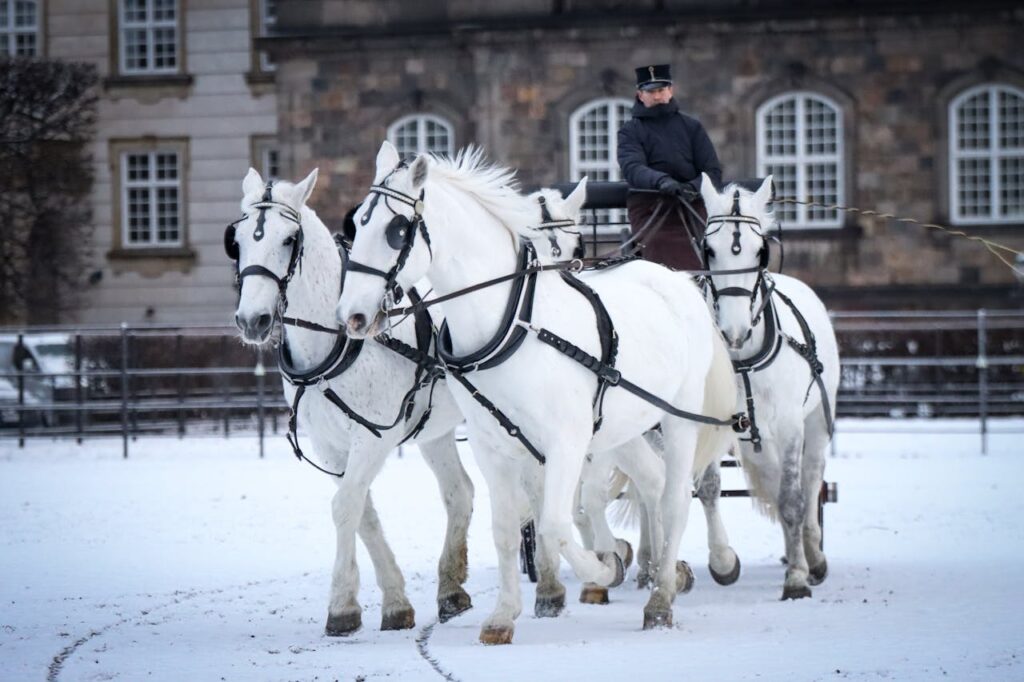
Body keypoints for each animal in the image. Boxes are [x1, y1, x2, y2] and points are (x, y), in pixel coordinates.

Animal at [227, 167, 475, 635]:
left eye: (289, 239)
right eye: (238, 240)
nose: (253, 320)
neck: (337, 340)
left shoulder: (374, 437)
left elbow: (345, 507)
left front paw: (341, 607)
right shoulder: (330, 445)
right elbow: (363, 512)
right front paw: (395, 603)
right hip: (435, 430)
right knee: (460, 493)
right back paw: (451, 592)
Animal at [337, 141, 738, 643]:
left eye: (396, 231)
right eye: (357, 224)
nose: (351, 316)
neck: (514, 324)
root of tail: (677, 280)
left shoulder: (566, 442)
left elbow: (554, 523)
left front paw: (605, 568)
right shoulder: (492, 445)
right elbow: (507, 527)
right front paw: (502, 616)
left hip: (678, 417)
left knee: (676, 498)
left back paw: (662, 597)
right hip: (623, 427)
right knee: (653, 481)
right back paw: (668, 572)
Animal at [698, 173, 840, 600]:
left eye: (761, 252)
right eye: (708, 250)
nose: (734, 331)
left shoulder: (791, 425)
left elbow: (792, 498)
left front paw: (796, 576)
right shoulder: (709, 420)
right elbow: (709, 487)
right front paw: (723, 561)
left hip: (816, 421)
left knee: (810, 480)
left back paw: (812, 554)